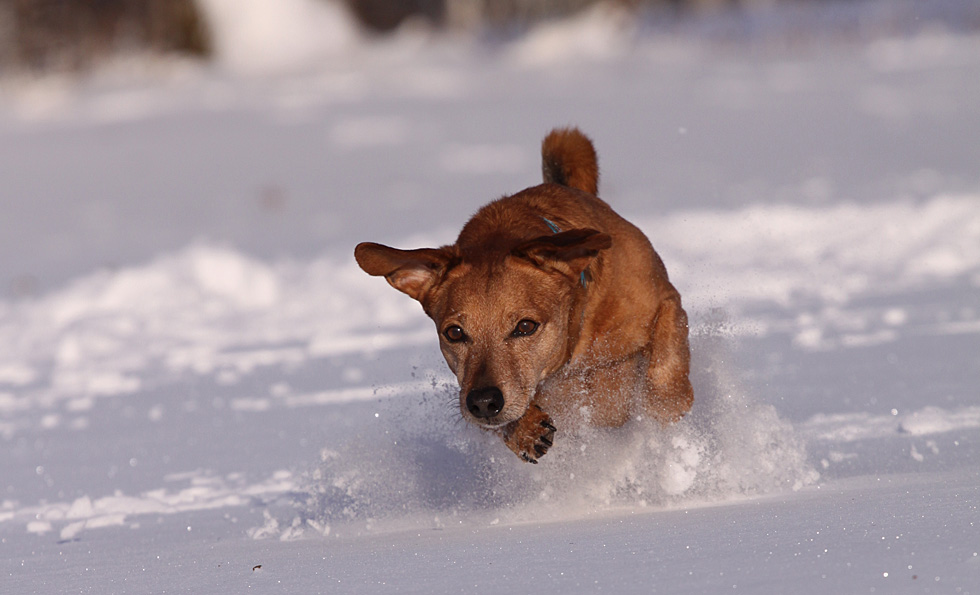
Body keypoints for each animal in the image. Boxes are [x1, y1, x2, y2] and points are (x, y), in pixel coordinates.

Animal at [356, 128, 692, 464]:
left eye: (526, 326)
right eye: (454, 333)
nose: (484, 402)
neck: (576, 347)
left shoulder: (665, 301)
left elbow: (666, 360)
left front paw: (666, 409)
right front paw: (525, 430)